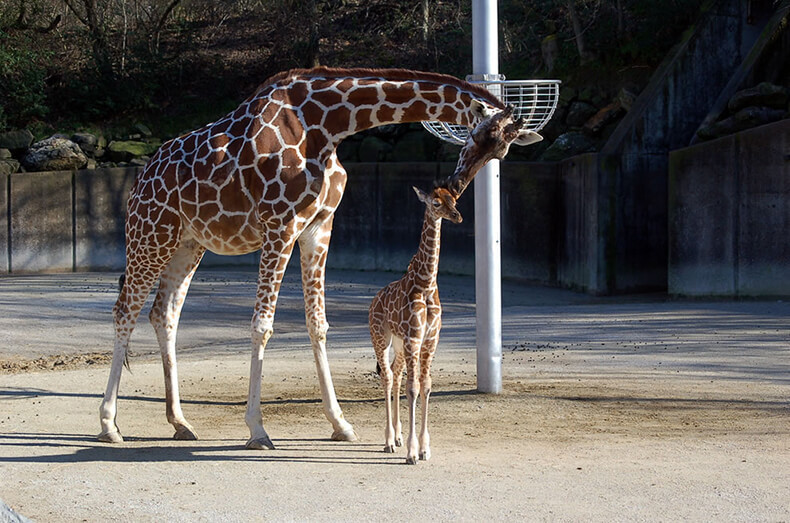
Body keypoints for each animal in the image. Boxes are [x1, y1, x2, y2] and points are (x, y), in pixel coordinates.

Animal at [372, 186, 464, 464]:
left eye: (454, 200)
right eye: (436, 203)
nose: (457, 216)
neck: (426, 283)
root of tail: (373, 301)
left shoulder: (430, 340)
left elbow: (426, 386)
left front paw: (424, 449)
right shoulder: (414, 338)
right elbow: (413, 389)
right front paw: (412, 453)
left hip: (399, 345)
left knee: (395, 373)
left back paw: (398, 437)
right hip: (381, 338)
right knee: (388, 377)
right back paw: (389, 441)